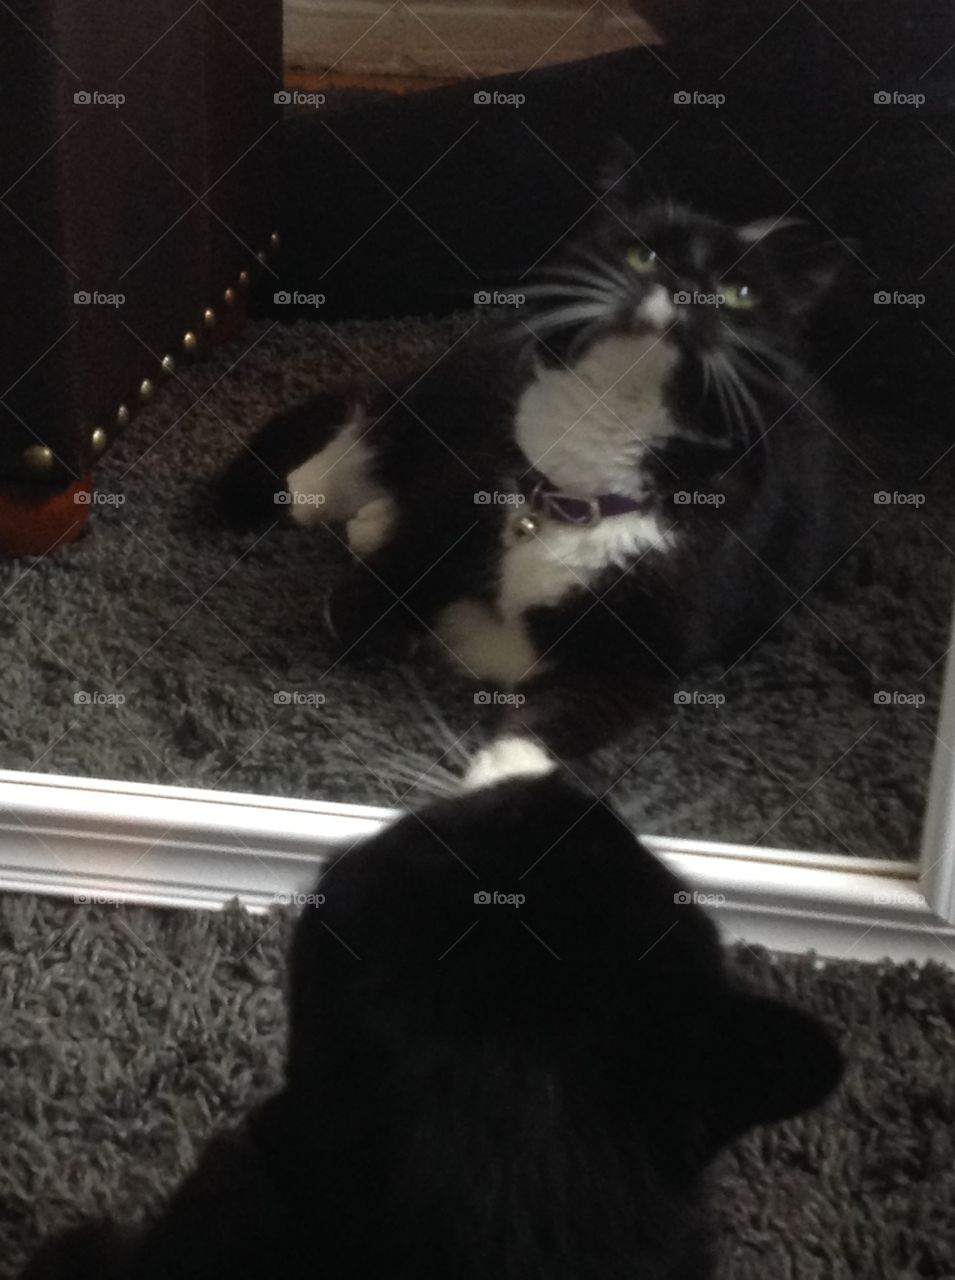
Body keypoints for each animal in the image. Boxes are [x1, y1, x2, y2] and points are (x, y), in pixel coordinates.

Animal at [221, 171, 839, 752]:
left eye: (738, 293)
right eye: (642, 254)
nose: (684, 287)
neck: (581, 484)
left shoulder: (649, 647)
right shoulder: (475, 473)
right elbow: (385, 581)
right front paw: (390, 602)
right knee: (373, 433)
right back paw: (320, 495)